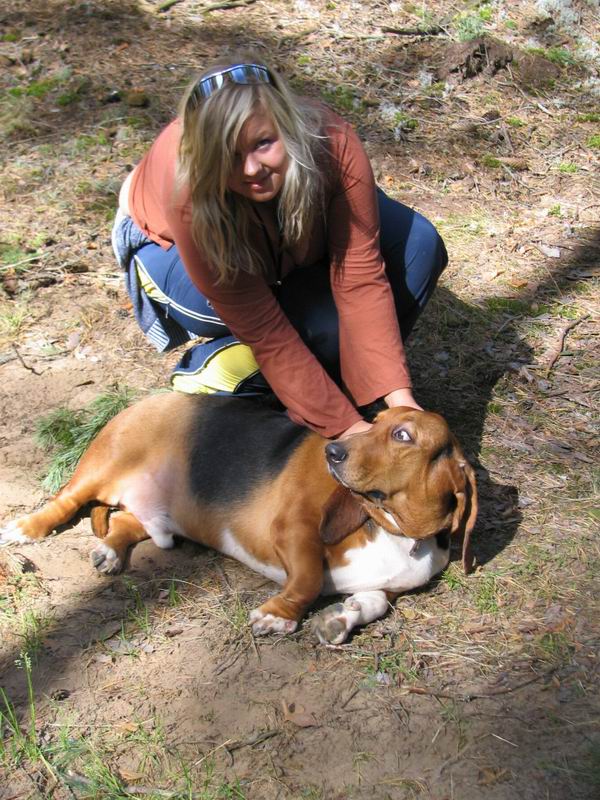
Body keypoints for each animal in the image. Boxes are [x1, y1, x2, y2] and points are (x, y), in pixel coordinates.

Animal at [0, 393, 477, 644]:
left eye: (402, 435)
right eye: (374, 422)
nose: (333, 452)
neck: (395, 531)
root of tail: (150, 398)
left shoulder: (389, 587)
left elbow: (375, 603)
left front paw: (340, 618)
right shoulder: (293, 529)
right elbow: (307, 578)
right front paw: (277, 614)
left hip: (163, 518)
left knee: (124, 524)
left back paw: (111, 552)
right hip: (102, 468)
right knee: (65, 500)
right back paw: (25, 529)